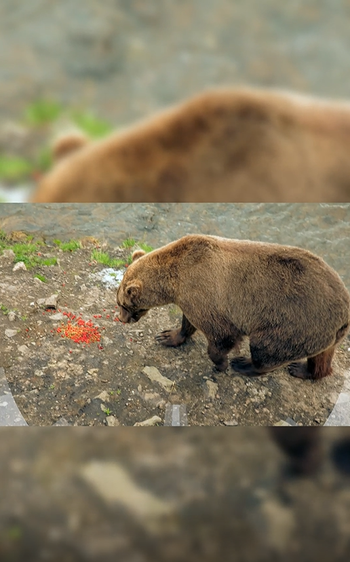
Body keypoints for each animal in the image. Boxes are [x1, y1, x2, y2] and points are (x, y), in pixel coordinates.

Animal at [116, 232, 348, 376]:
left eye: (123, 304)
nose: (122, 319)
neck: (174, 280)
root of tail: (344, 315)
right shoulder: (191, 297)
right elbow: (188, 322)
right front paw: (168, 336)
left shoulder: (204, 292)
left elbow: (221, 335)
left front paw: (221, 363)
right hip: (322, 334)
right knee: (322, 356)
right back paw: (303, 370)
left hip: (294, 323)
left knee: (266, 348)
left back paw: (245, 365)